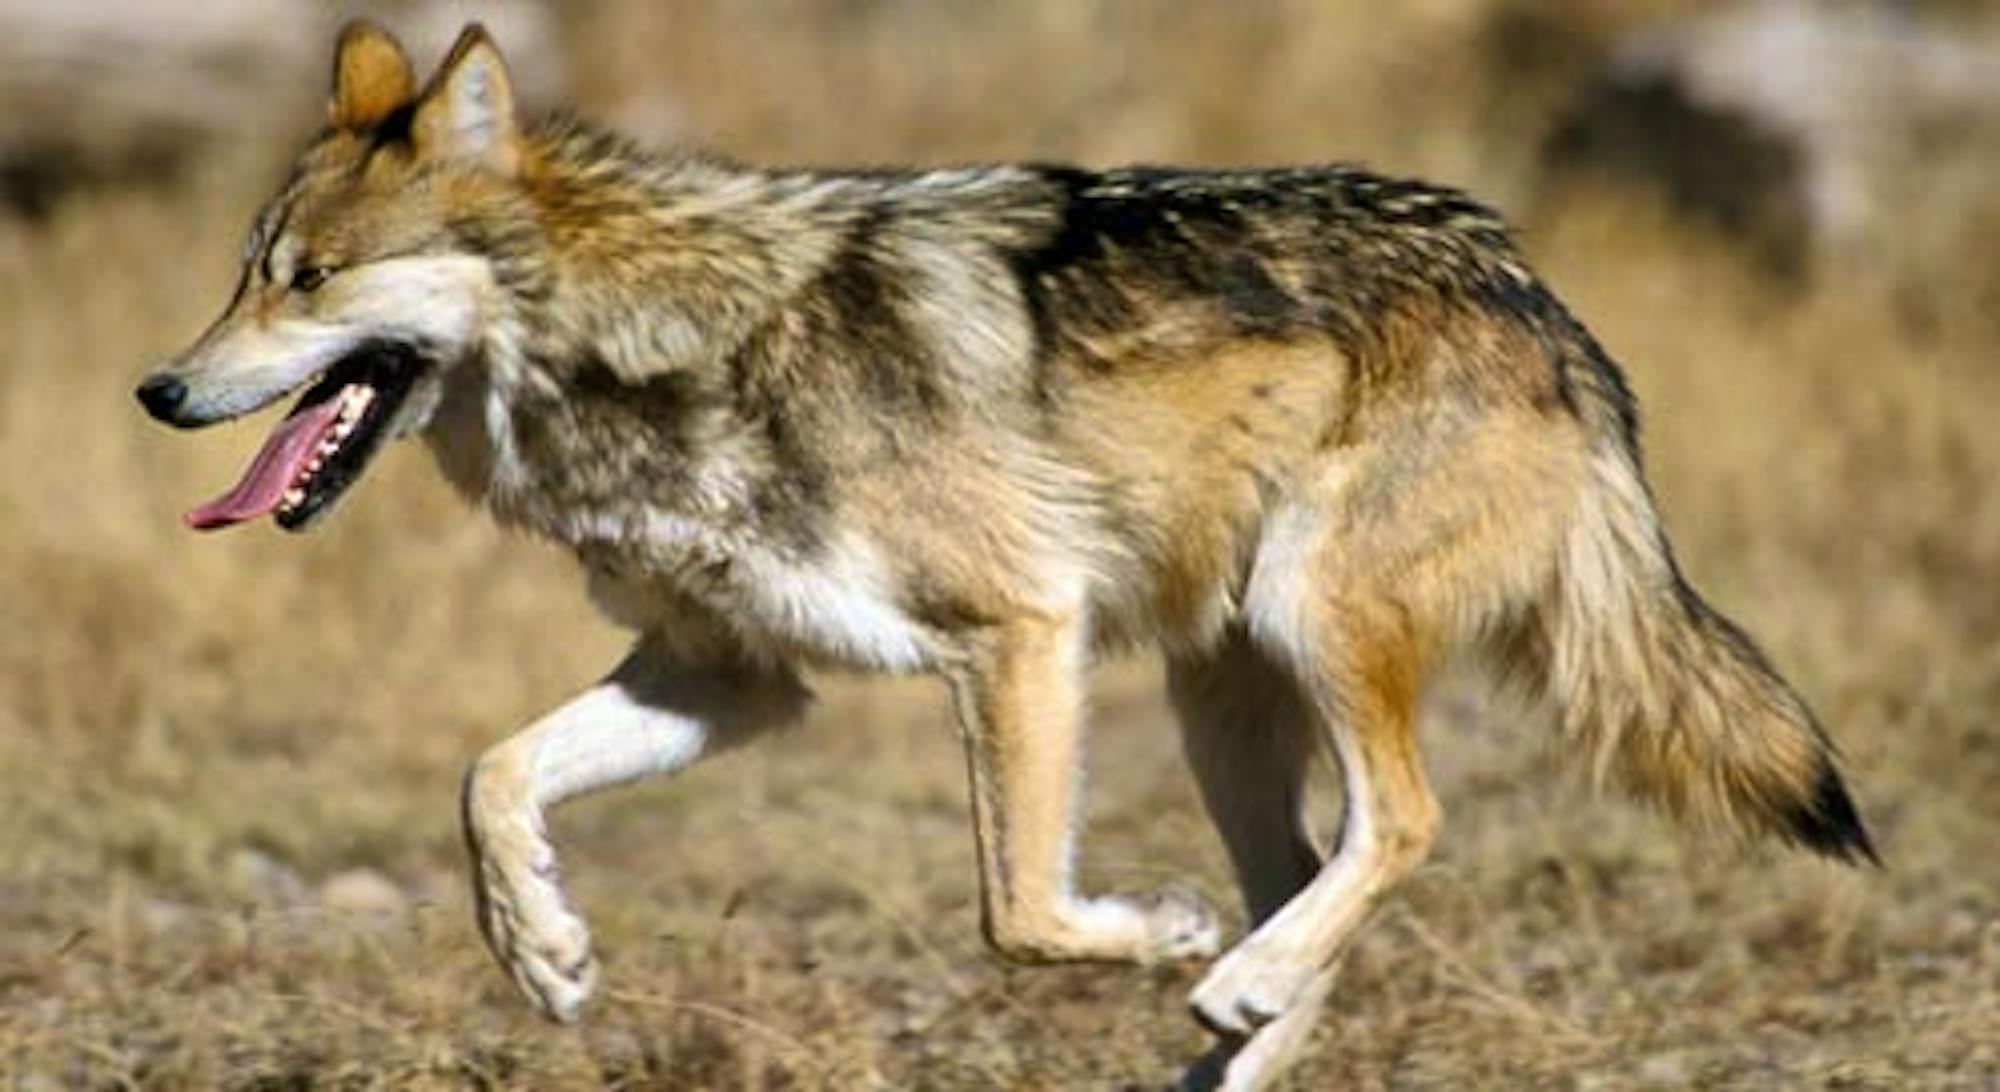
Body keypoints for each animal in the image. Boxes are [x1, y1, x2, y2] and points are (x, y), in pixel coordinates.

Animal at [129, 19, 1872, 1088]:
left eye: (307, 278)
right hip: (1219, 696)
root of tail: (1541, 297)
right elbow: (488, 778)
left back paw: (1229, 981)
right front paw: (545, 957)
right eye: (242, 272)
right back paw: (1236, 1029)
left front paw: (1155, 932)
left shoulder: (1018, 631)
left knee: (1407, 826)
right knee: (1318, 872)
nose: (159, 391)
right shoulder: (728, 680)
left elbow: (1017, 911)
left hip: (1305, 621)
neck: (661, 346)